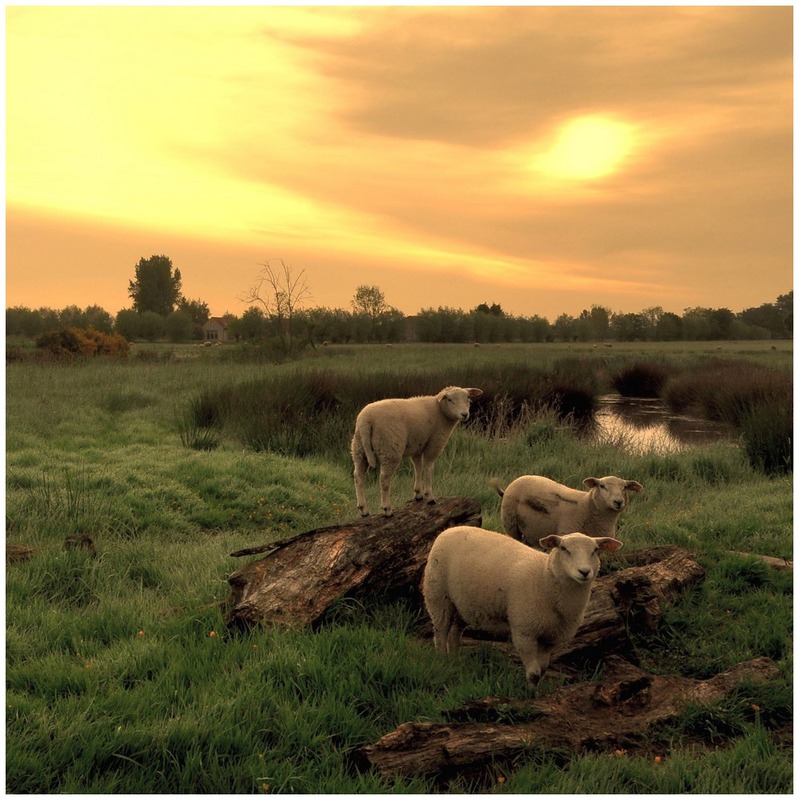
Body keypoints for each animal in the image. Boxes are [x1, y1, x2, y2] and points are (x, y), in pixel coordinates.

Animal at [350, 386, 482, 520]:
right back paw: (387, 509)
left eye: (468, 398)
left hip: (359, 449)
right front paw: (429, 496)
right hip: (390, 448)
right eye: (449, 399)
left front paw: (418, 494)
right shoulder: (434, 443)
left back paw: (363, 510)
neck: (440, 412)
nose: (464, 414)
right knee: (384, 479)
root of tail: (366, 420)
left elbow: (418, 467)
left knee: (358, 476)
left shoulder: (417, 445)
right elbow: (428, 468)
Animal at [424, 528, 624, 684]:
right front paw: (530, 695)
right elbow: (534, 673)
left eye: (596, 550)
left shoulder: (549, 637)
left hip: (463, 605)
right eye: (563, 548)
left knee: (455, 632)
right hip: (438, 596)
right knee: (441, 632)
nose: (584, 572)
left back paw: (454, 660)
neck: (544, 578)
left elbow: (542, 670)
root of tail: (448, 530)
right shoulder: (524, 630)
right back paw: (442, 660)